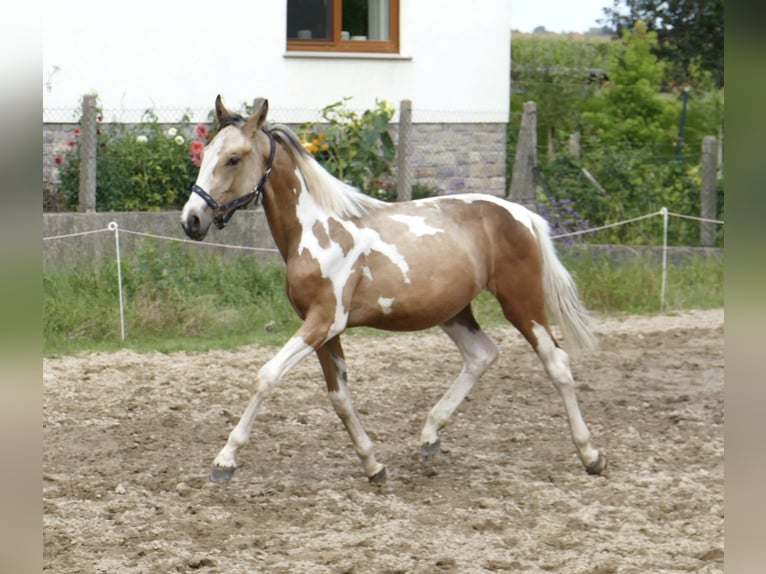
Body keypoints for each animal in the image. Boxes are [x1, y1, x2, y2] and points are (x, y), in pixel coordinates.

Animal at [180, 95, 606, 483]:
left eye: (233, 158)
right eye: (206, 153)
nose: (191, 221)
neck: (316, 229)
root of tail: (524, 216)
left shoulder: (323, 322)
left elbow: (266, 376)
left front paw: (225, 461)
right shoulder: (324, 331)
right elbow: (339, 398)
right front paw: (373, 465)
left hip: (521, 302)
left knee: (557, 363)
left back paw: (591, 456)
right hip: (454, 311)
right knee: (481, 354)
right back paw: (429, 437)